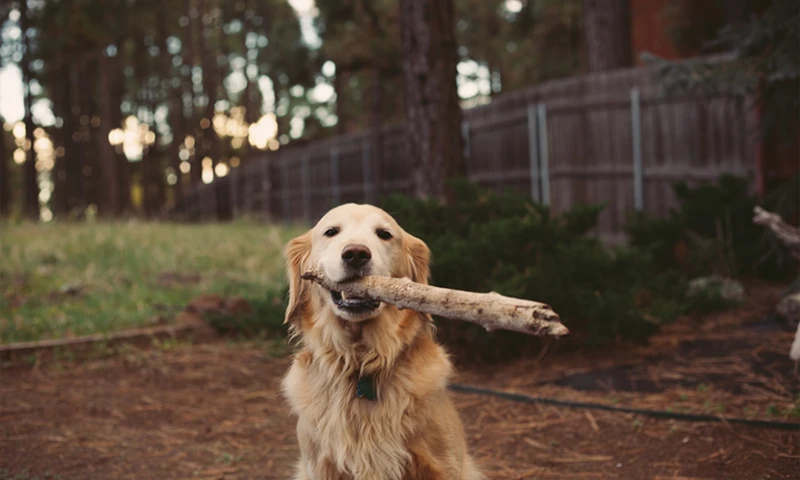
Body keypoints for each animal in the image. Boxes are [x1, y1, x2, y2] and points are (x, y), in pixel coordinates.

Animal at [280, 203, 482, 480]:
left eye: (384, 234)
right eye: (331, 232)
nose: (355, 254)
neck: (361, 361)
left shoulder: (444, 465)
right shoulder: (320, 466)